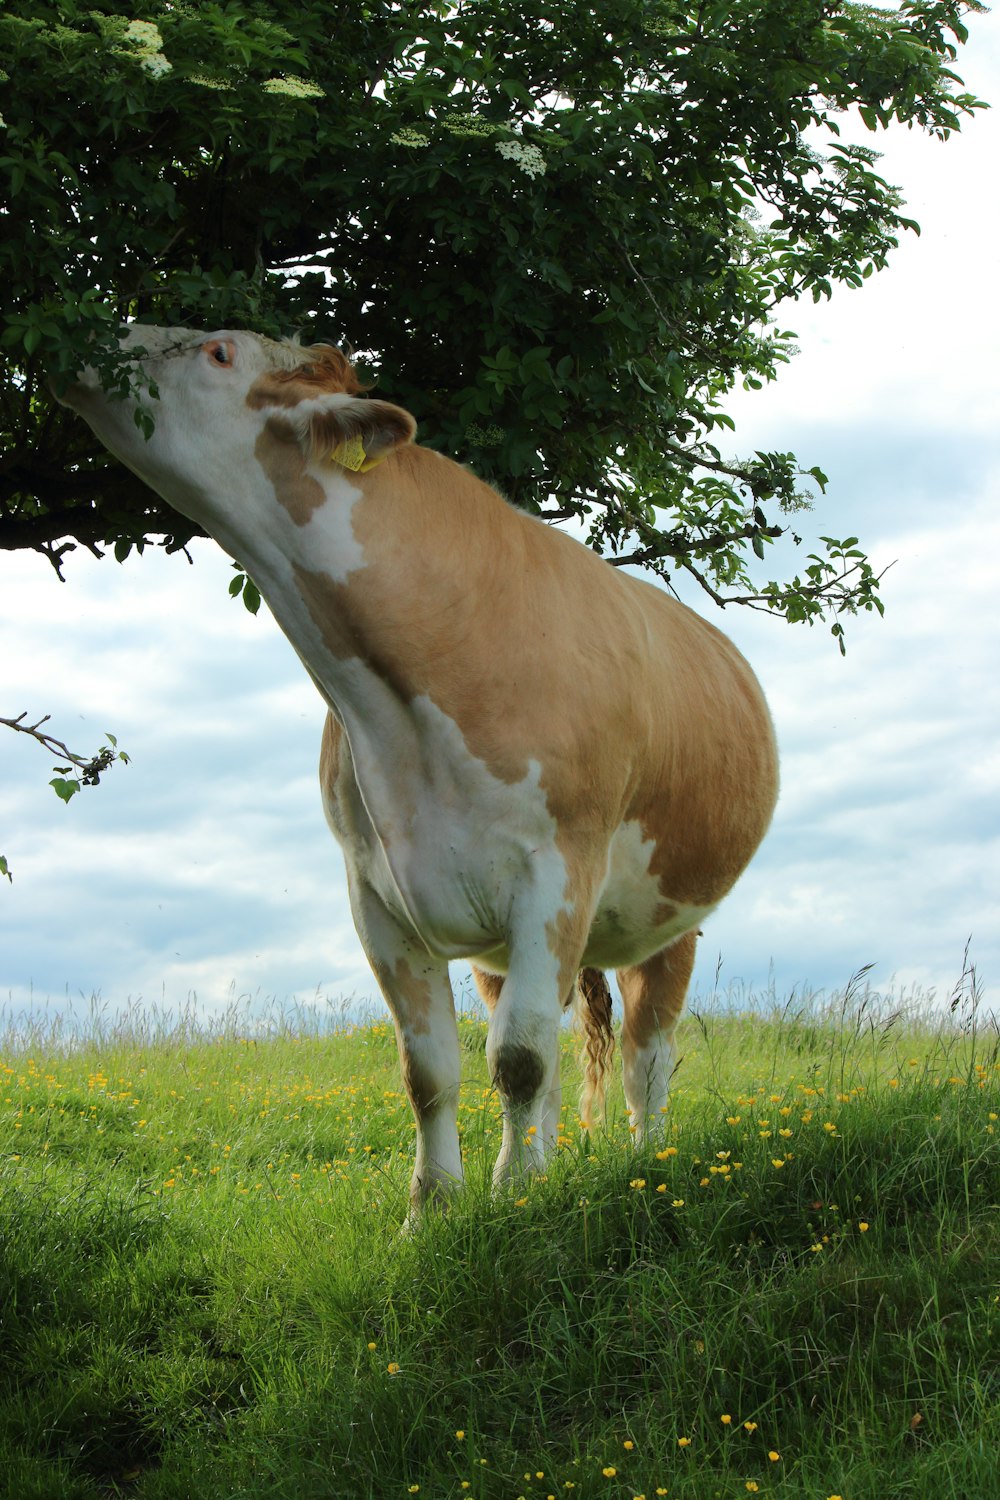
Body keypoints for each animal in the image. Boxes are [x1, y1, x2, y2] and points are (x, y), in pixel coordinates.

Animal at [60, 328, 779, 1218]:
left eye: (219, 352)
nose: (96, 342)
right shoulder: (376, 893)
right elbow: (431, 1070)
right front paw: (434, 1208)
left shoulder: (558, 870)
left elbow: (522, 1060)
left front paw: (515, 1198)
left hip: (668, 915)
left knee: (647, 1054)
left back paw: (652, 1160)